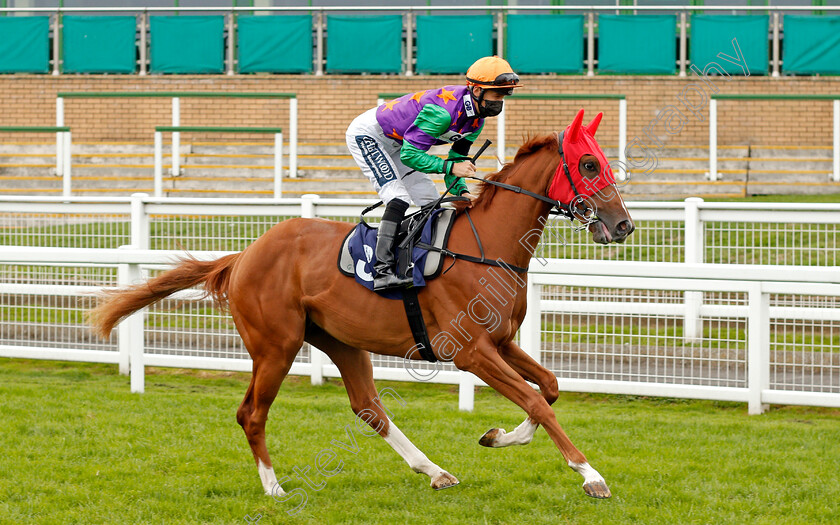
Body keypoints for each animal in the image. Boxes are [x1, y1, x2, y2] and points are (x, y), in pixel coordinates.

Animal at [88, 109, 632, 500]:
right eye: (588, 164)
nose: (623, 225)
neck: (487, 246)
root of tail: (244, 255)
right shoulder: (469, 351)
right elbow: (537, 400)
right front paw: (590, 475)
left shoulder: (499, 343)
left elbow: (549, 389)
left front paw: (497, 436)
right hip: (275, 346)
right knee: (252, 414)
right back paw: (275, 488)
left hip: (340, 341)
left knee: (368, 407)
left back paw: (434, 471)